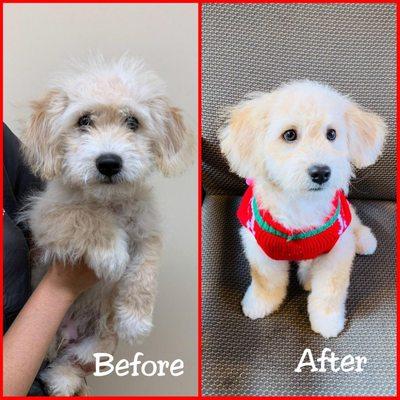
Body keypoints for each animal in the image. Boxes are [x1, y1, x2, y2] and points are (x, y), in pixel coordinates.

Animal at [220, 82, 386, 340]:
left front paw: (327, 321)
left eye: (331, 134)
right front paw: (260, 303)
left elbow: (329, 291)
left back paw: (363, 240)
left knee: (354, 221)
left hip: (346, 217)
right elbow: (266, 281)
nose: (321, 172)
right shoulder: (258, 247)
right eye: (289, 134)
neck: (301, 205)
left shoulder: (337, 250)